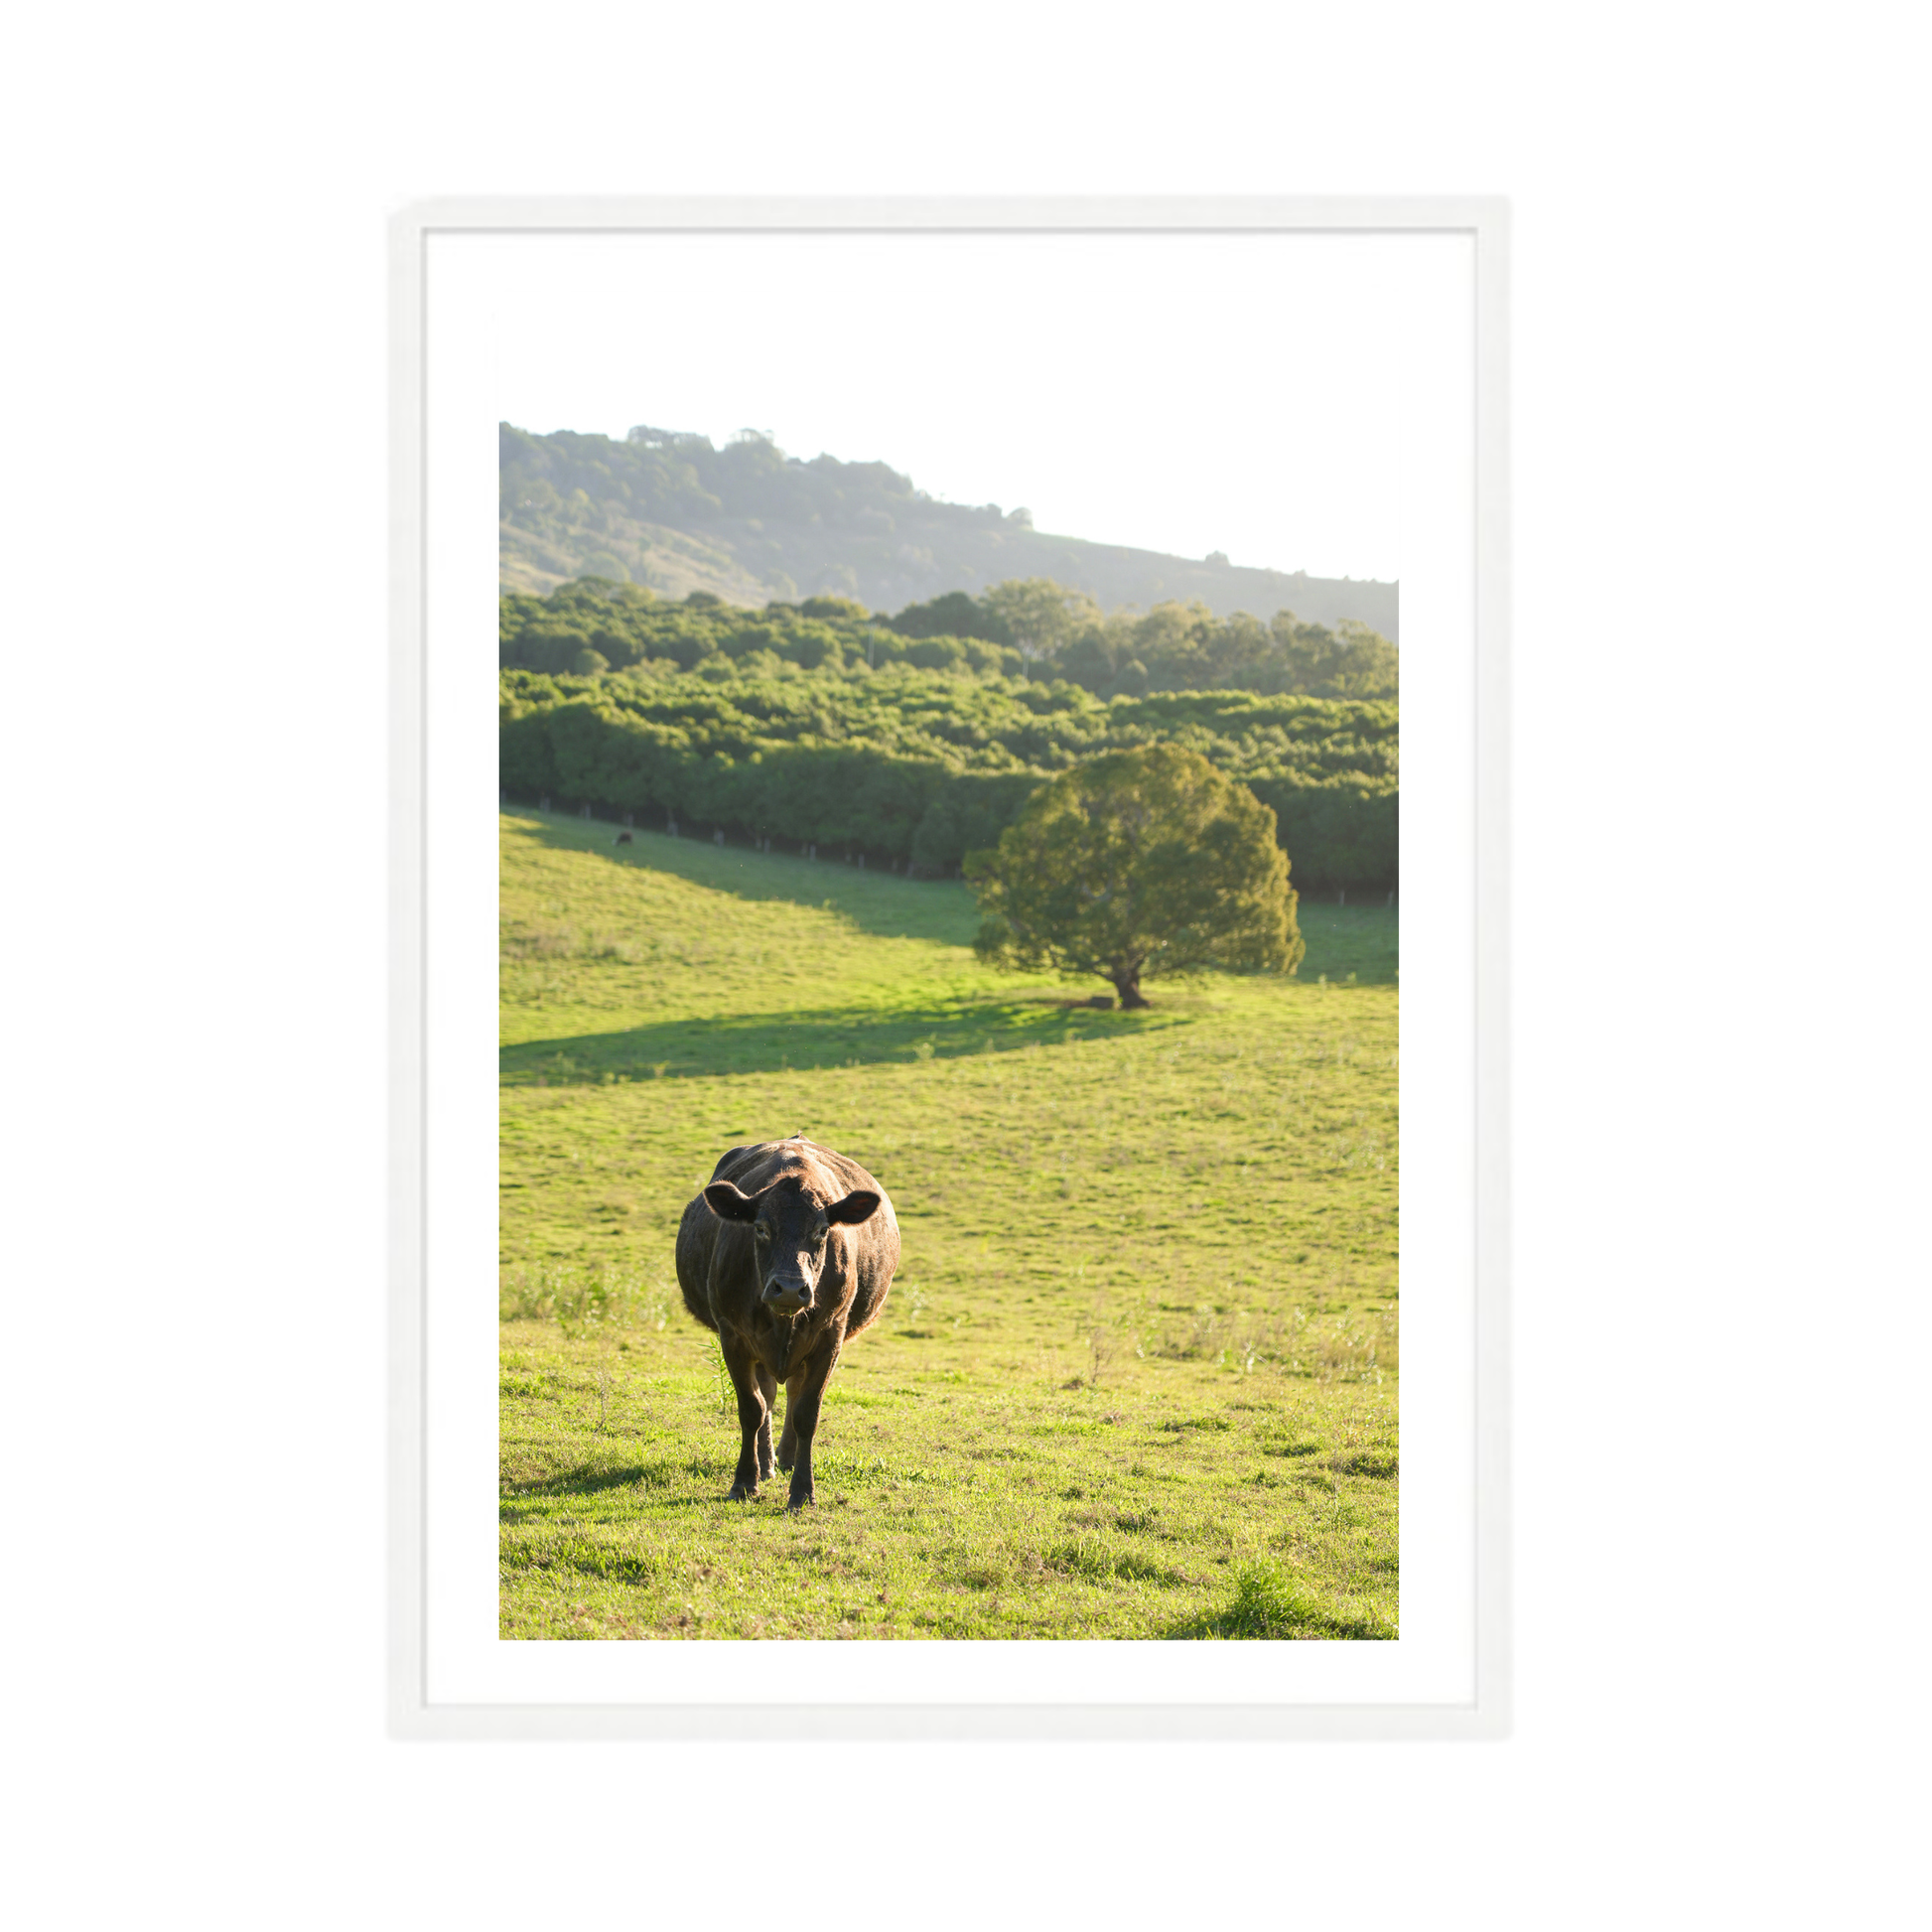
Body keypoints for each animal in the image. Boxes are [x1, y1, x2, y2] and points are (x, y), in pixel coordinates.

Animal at [676, 1135, 899, 1510]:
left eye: (822, 1230)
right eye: (761, 1228)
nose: (791, 1288)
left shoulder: (830, 1337)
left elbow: (807, 1412)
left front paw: (803, 1490)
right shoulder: (732, 1335)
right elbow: (751, 1408)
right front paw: (744, 1481)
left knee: (792, 1393)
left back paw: (788, 1459)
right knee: (767, 1396)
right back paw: (766, 1463)